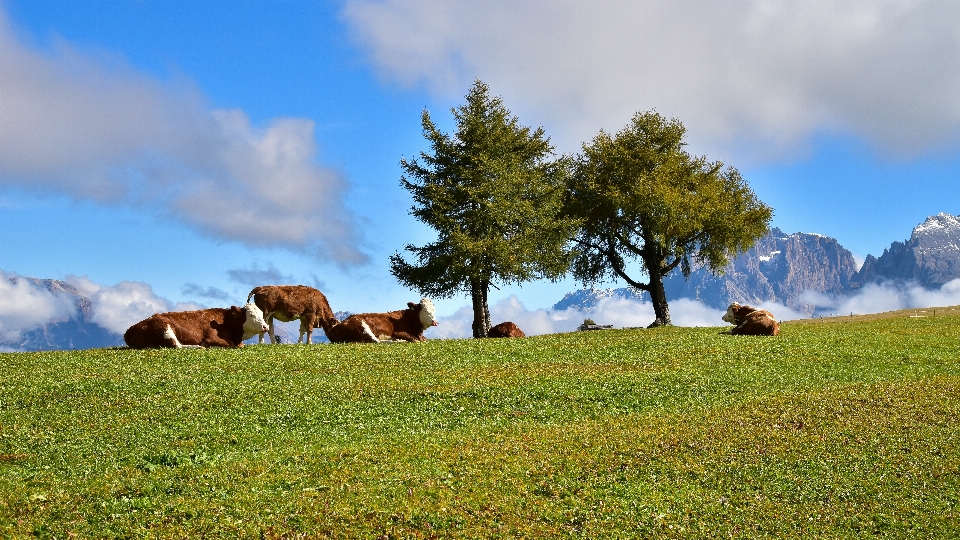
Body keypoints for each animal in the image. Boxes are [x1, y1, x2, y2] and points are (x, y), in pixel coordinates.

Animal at [123, 304, 270, 350]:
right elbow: (230, 344)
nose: (265, 326)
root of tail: (130, 328)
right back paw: (200, 347)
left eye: (262, 314)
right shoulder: (211, 337)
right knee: (176, 345)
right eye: (251, 314)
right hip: (164, 327)